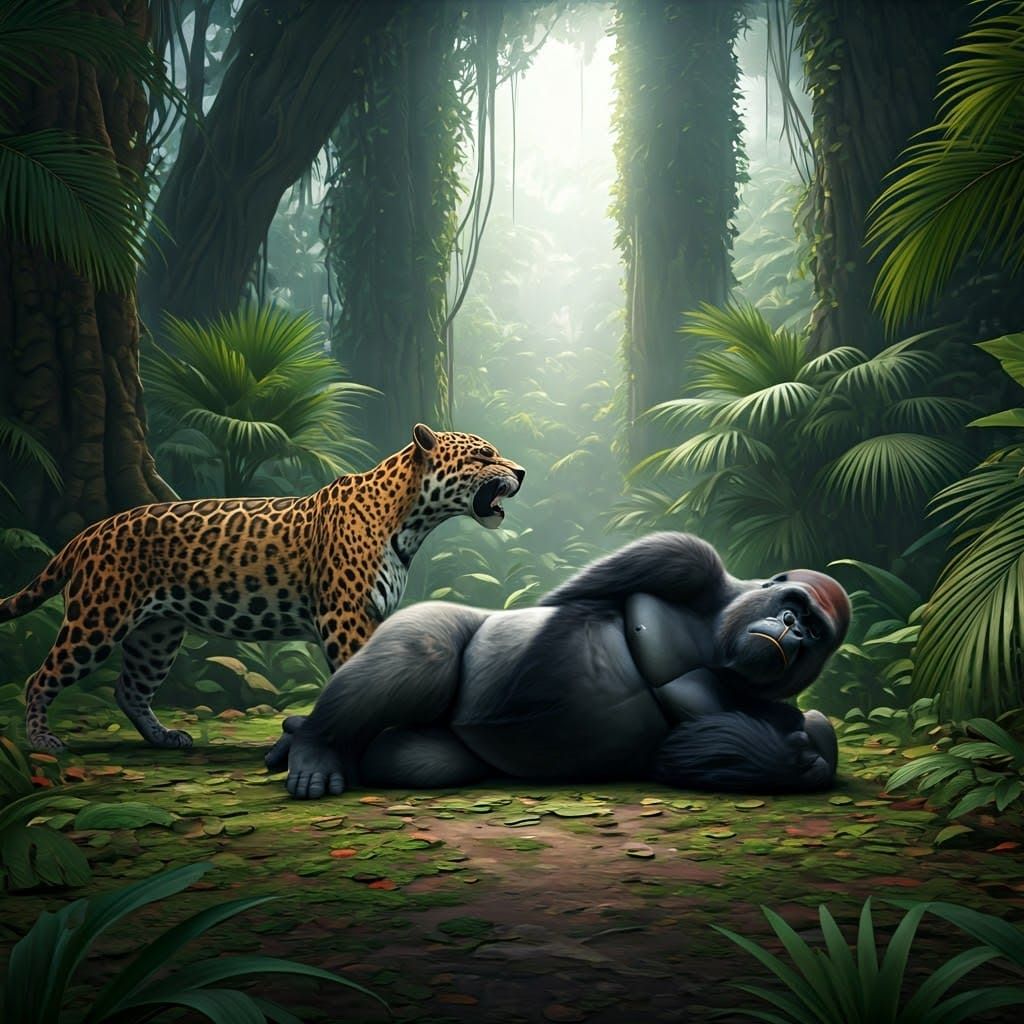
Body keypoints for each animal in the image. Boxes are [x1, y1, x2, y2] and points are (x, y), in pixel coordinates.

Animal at [0, 424, 524, 753]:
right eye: (484, 455)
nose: (520, 473)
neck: (411, 520)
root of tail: (91, 531)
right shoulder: (344, 617)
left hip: (157, 634)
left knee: (129, 690)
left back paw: (165, 738)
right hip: (98, 619)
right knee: (39, 678)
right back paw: (43, 743)